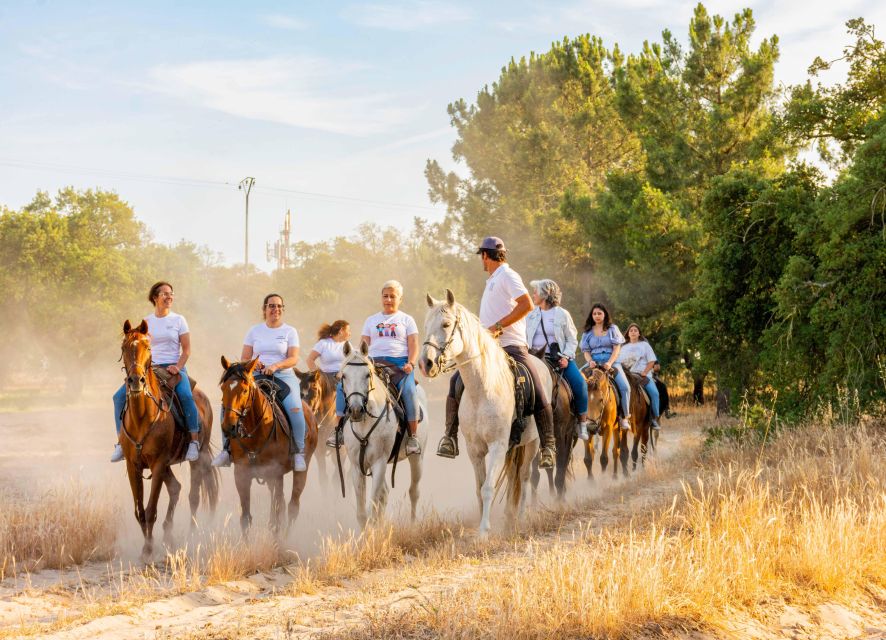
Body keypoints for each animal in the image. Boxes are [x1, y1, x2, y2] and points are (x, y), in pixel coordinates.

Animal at [119, 318, 219, 564]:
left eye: (148, 346)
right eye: (124, 347)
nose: (136, 381)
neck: (142, 417)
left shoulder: (158, 463)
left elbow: (151, 509)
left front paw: (148, 550)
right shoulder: (133, 466)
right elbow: (140, 511)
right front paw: (147, 546)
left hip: (198, 458)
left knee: (193, 496)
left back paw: (192, 535)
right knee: (175, 488)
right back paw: (168, 536)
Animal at [220, 358, 320, 532]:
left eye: (244, 391)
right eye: (223, 388)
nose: (229, 427)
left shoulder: (276, 473)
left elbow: (278, 519)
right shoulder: (241, 474)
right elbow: (246, 519)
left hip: (300, 472)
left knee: (292, 507)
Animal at [338, 342, 428, 528]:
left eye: (367, 374)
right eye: (344, 376)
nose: (356, 410)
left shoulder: (379, 462)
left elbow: (373, 505)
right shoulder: (357, 466)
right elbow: (362, 513)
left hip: (417, 458)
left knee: (413, 491)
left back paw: (413, 524)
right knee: (385, 493)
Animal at [420, 290, 544, 536]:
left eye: (446, 324)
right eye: (426, 324)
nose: (426, 363)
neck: (483, 388)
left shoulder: (497, 445)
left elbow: (488, 487)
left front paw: (484, 531)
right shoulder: (474, 449)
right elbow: (479, 488)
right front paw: (481, 523)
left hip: (532, 443)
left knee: (525, 477)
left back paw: (521, 518)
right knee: (515, 477)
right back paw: (509, 519)